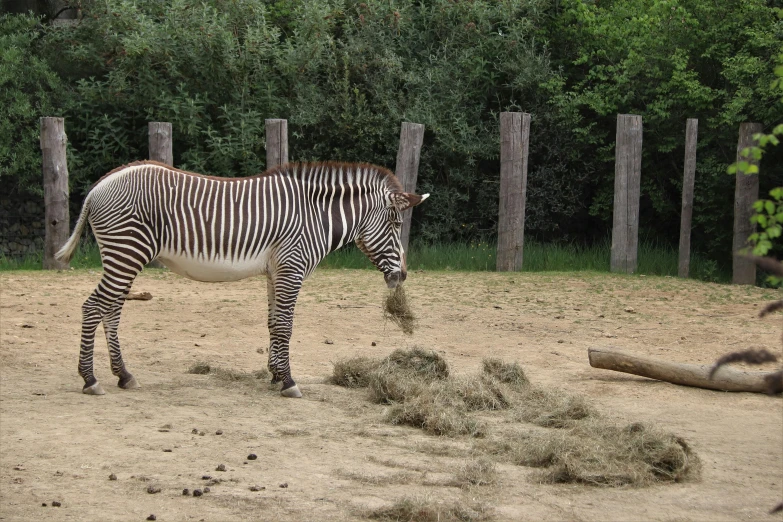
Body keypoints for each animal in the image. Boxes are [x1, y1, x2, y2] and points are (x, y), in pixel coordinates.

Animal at [56, 160, 428, 396]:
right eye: (396, 224)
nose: (403, 276)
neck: (315, 216)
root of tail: (100, 185)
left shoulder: (276, 271)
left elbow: (273, 323)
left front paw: (275, 375)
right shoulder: (292, 267)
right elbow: (285, 325)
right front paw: (289, 381)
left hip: (123, 257)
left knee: (111, 311)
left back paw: (123, 375)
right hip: (127, 252)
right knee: (93, 307)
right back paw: (90, 379)